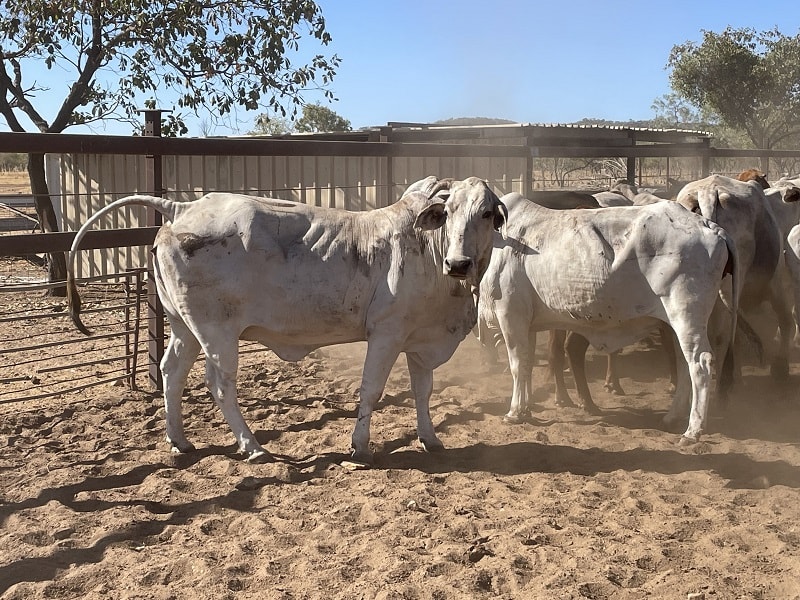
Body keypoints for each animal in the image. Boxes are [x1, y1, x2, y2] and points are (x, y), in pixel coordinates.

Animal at [67, 176, 508, 466]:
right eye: (448, 212)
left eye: (487, 213)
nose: (459, 263)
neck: (429, 250)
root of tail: (182, 208)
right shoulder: (387, 333)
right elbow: (371, 391)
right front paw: (360, 446)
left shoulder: (420, 340)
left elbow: (423, 392)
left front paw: (430, 438)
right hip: (217, 333)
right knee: (220, 385)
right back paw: (252, 447)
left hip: (183, 328)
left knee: (171, 372)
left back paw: (180, 441)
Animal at [477, 193, 739, 444]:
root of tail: (709, 226)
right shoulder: (527, 323)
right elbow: (527, 362)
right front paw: (526, 407)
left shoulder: (510, 315)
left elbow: (517, 364)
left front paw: (514, 412)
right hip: (678, 323)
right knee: (685, 364)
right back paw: (672, 417)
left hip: (686, 316)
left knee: (700, 363)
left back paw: (693, 430)